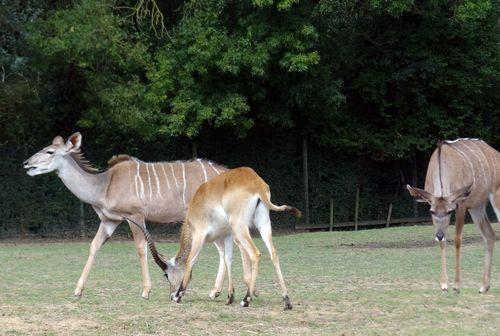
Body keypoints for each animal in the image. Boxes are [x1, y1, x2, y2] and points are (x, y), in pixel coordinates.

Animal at [21, 133, 229, 298]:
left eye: (50, 152)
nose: (26, 163)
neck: (104, 184)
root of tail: (225, 172)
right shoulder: (109, 221)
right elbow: (94, 246)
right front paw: (78, 290)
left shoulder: (135, 216)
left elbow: (140, 248)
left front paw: (146, 291)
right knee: (222, 248)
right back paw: (216, 291)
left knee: (223, 248)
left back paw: (215, 291)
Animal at [129, 167, 300, 312]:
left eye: (166, 274)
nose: (171, 295)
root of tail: (256, 183)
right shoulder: (227, 235)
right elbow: (228, 259)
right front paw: (229, 297)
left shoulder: (200, 235)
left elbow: (191, 260)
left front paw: (179, 295)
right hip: (262, 224)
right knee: (273, 253)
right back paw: (286, 301)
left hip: (240, 227)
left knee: (255, 254)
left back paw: (246, 300)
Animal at [408, 138, 498, 292]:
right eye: (432, 211)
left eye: (449, 211)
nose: (439, 235)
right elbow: (443, 243)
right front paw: (444, 284)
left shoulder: (460, 204)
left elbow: (457, 240)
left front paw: (456, 285)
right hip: (477, 206)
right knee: (489, 235)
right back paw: (484, 286)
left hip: (495, 195)